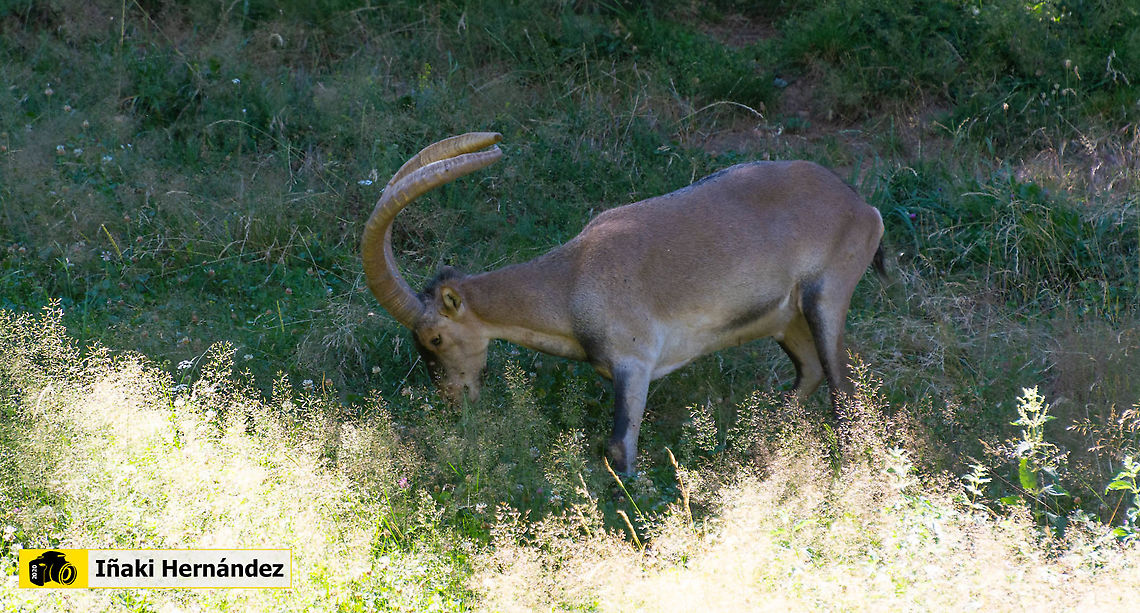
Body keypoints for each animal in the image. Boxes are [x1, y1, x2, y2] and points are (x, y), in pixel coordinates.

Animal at [361, 132, 885, 474]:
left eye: (434, 337)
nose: (455, 402)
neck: (572, 284)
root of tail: (864, 209)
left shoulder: (635, 364)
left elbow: (618, 448)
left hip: (827, 296)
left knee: (842, 390)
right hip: (786, 318)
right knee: (810, 373)